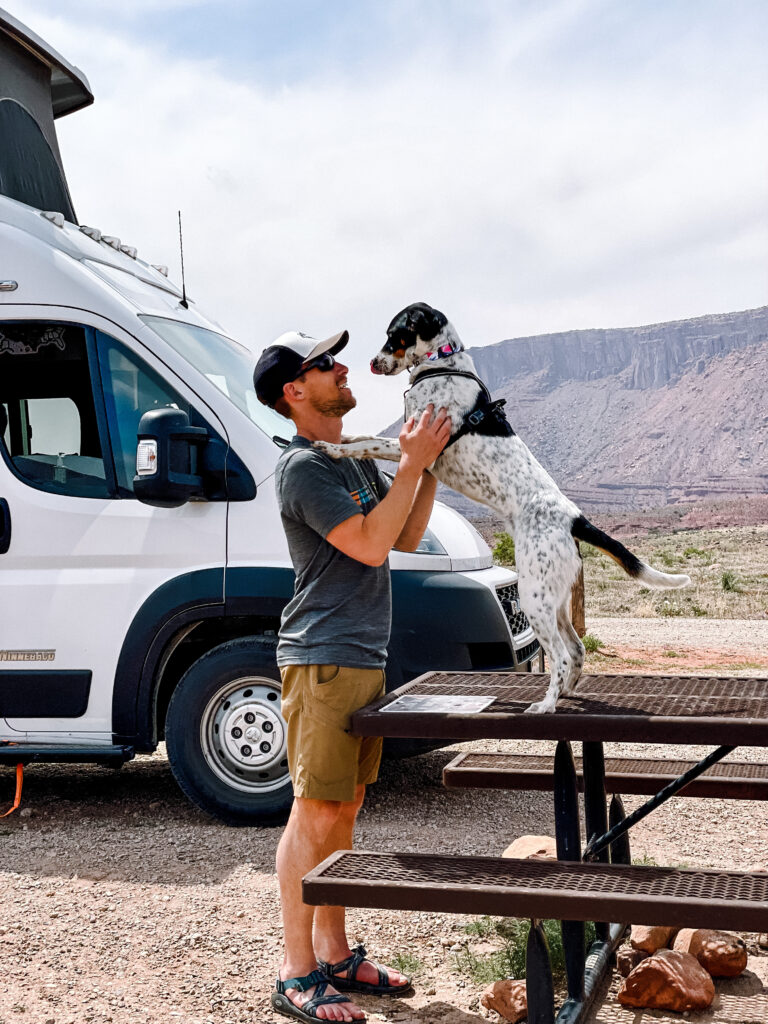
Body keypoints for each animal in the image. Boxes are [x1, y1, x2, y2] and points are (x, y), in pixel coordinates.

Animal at [315, 299, 696, 708]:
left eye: (394, 335)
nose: (371, 363)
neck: (443, 362)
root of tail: (573, 517)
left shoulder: (411, 446)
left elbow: (365, 445)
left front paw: (332, 447)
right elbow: (364, 436)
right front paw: (342, 435)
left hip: (534, 596)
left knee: (561, 655)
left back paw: (546, 705)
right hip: (555, 599)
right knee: (577, 649)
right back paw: (567, 695)